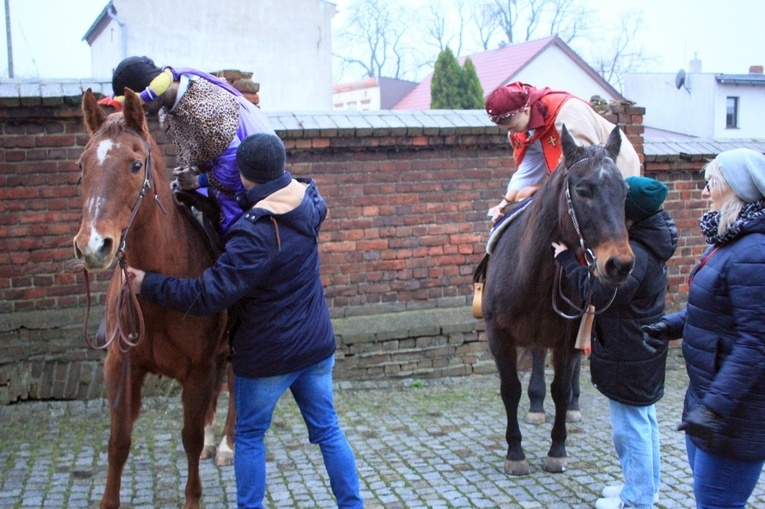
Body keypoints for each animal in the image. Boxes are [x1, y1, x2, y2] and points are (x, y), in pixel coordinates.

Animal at [76, 88, 234, 508]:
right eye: (82, 165)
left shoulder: (196, 370)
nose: (93, 246)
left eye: (135, 165)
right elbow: (118, 443)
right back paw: (214, 440)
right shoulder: (121, 366)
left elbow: (189, 439)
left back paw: (226, 445)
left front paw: (193, 496)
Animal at [484, 125, 632, 474]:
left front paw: (556, 449)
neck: (534, 275)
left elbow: (561, 390)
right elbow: (510, 389)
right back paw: (536, 406)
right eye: (582, 190)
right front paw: (515, 452)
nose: (619, 264)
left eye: (624, 191)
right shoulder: (499, 336)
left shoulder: (568, 336)